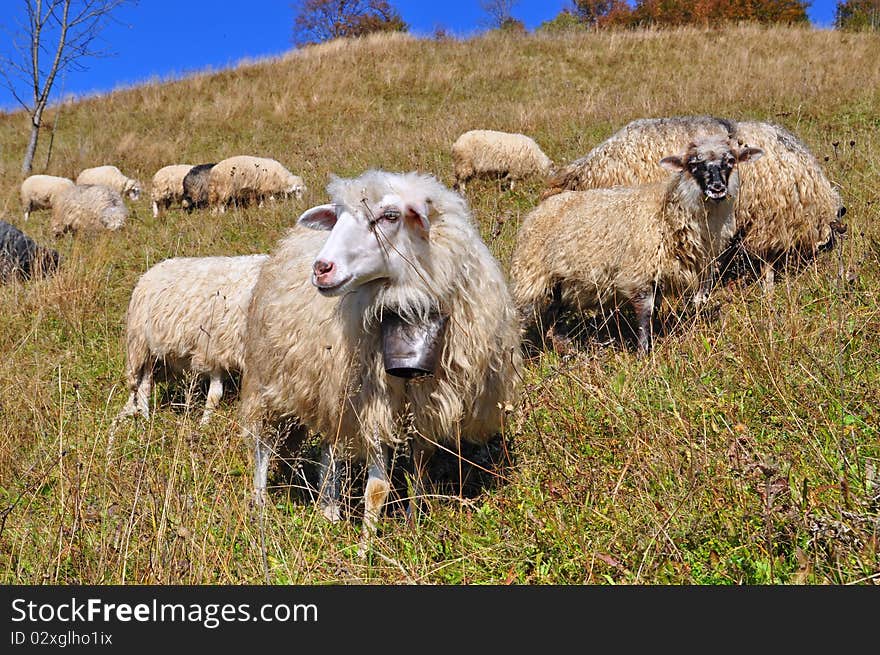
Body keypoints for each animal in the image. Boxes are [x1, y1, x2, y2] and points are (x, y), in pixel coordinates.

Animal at [115, 252, 270, 430]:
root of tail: (150, 272)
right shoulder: (214, 349)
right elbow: (215, 394)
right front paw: (204, 425)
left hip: (157, 357)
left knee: (144, 385)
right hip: (142, 346)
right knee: (143, 386)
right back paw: (145, 421)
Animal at [239, 169, 524, 552]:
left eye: (390, 216)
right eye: (338, 216)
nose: (321, 269)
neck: (402, 300)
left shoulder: (427, 402)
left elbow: (419, 470)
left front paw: (413, 523)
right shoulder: (373, 400)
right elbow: (376, 488)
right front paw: (364, 548)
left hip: (332, 387)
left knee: (330, 448)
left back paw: (328, 509)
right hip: (269, 376)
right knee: (263, 445)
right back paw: (260, 506)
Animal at [508, 135, 764, 356]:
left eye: (730, 161)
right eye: (694, 164)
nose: (718, 188)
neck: (669, 209)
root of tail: (539, 209)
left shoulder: (657, 276)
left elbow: (656, 310)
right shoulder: (639, 272)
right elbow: (645, 314)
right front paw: (643, 353)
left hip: (559, 283)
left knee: (554, 318)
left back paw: (567, 351)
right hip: (531, 276)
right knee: (522, 316)